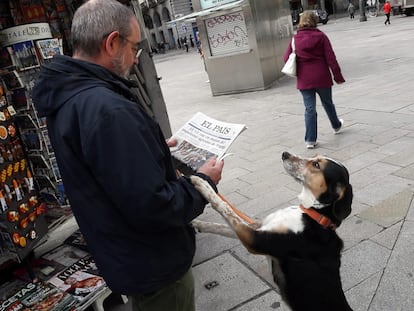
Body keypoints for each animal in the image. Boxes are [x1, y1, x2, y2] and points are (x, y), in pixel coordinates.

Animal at [191, 152, 352, 311]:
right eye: (315, 158)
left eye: (316, 165)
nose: (285, 153)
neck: (315, 214)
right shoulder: (259, 227)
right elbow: (220, 226)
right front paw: (196, 223)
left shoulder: (254, 240)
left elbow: (225, 208)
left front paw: (202, 182)